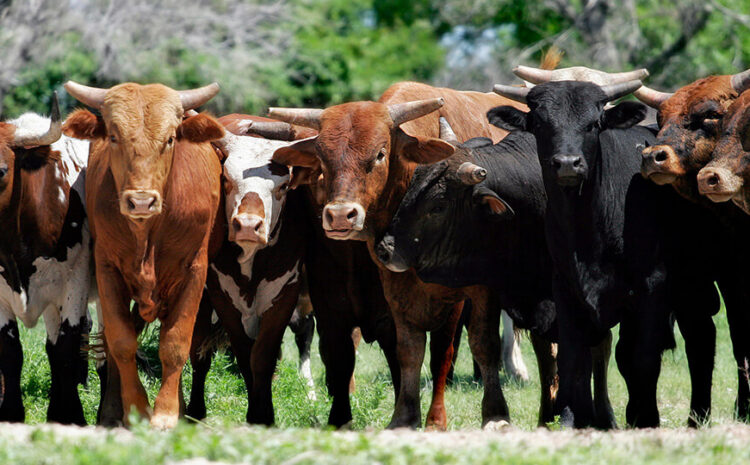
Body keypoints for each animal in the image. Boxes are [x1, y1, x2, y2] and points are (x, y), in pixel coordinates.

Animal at [0, 95, 92, 424]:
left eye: (1, 171)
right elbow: (10, 351)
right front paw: (11, 413)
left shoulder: (75, 284)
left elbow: (67, 347)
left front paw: (71, 415)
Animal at [63, 80, 225, 429]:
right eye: (113, 136)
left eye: (170, 138)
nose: (140, 201)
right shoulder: (107, 271)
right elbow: (121, 342)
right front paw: (135, 410)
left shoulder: (194, 273)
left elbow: (175, 344)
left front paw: (166, 413)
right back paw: (112, 410)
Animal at [267, 81, 533, 430]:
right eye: (322, 160)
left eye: (380, 154)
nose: (340, 215)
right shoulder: (378, 294)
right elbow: (400, 352)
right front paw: (398, 417)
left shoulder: (465, 295)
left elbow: (457, 351)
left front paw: (450, 419)